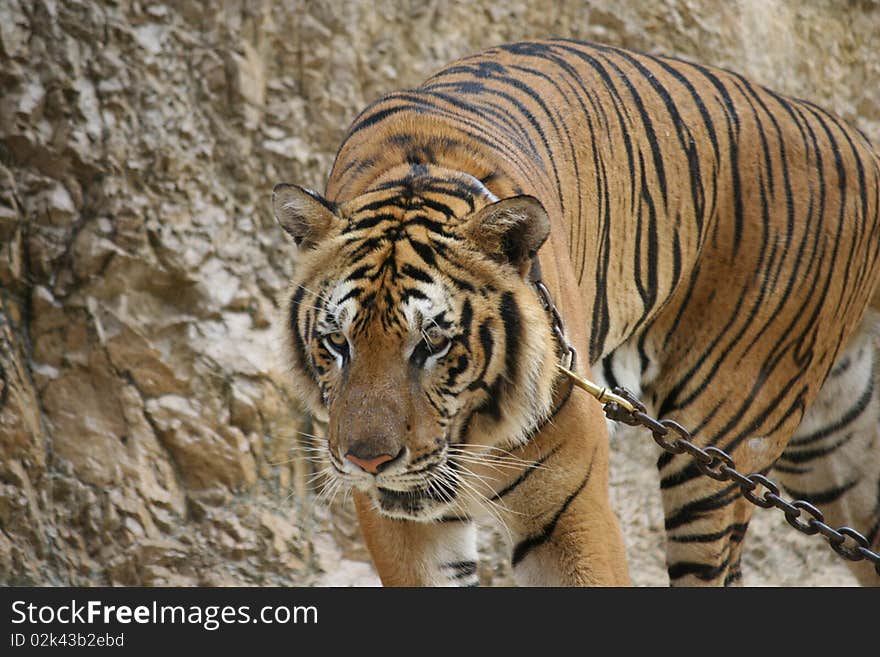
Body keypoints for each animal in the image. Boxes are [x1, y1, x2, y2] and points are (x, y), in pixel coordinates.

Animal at [274, 38, 880, 588]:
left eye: (433, 345)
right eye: (337, 343)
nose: (367, 462)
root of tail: (858, 142)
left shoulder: (568, 512)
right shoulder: (400, 522)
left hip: (725, 442)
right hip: (833, 450)